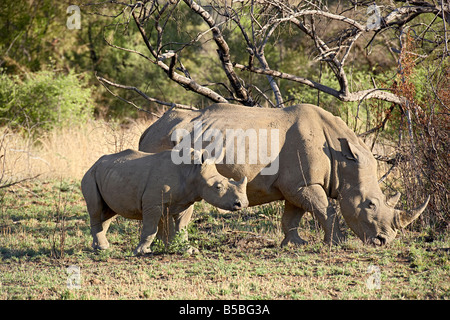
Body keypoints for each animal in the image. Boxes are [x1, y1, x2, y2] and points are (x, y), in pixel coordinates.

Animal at [81, 148, 250, 255]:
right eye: (218, 187)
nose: (242, 203)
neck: (193, 171)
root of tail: (94, 163)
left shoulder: (185, 202)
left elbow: (181, 227)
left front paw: (187, 250)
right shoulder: (153, 203)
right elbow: (150, 227)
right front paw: (142, 252)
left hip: (108, 175)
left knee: (109, 212)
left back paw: (99, 248)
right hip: (90, 175)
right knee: (96, 209)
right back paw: (102, 248)